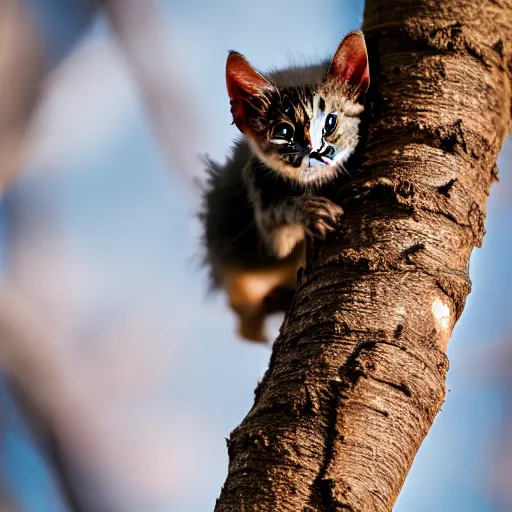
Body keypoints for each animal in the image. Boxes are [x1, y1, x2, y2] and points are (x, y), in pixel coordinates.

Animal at [200, 33, 368, 344]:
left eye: (330, 123)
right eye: (284, 132)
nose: (314, 152)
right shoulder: (256, 183)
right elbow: (280, 227)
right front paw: (311, 210)